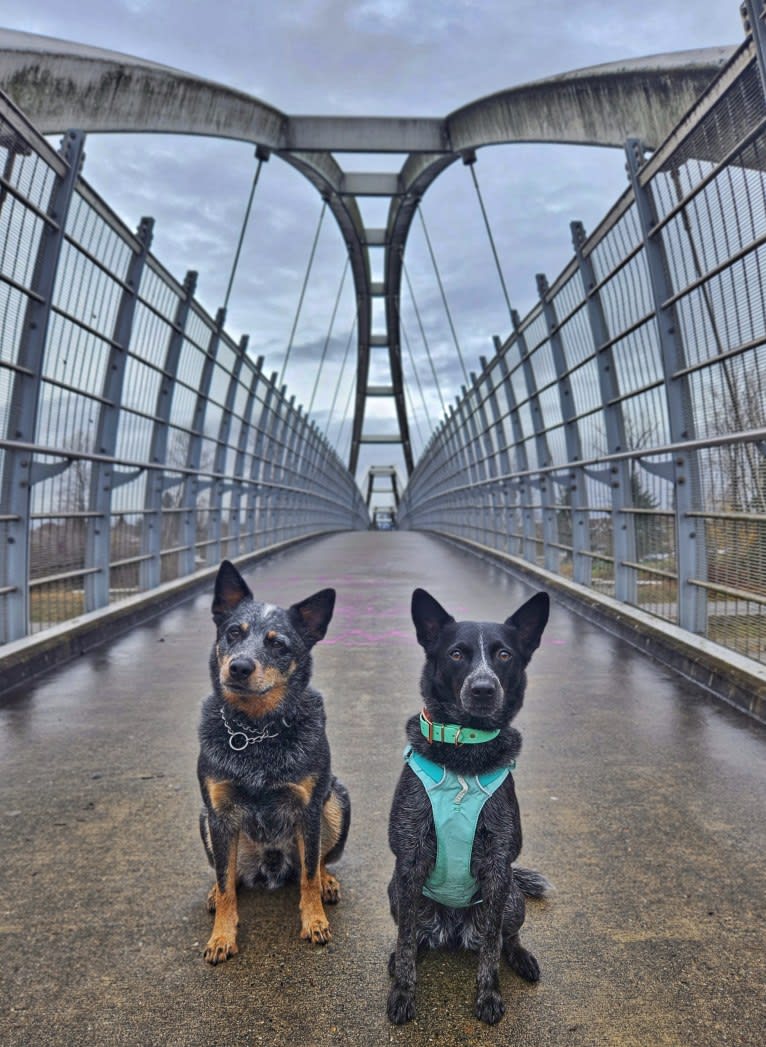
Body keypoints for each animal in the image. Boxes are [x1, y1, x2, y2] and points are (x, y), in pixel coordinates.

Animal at [197, 561, 353, 959]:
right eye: (233, 632)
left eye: (277, 643)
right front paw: (221, 937)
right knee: (227, 875)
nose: (239, 667)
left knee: (316, 861)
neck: (254, 732)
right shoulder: (219, 813)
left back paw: (327, 881)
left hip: (337, 800)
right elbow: (226, 885)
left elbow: (309, 875)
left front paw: (314, 921)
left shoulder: (308, 809)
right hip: (205, 820)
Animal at [389, 590, 552, 1021]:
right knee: (415, 936)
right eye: (457, 653)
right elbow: (407, 942)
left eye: (504, 654)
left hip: (512, 899)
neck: (464, 750)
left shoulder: (497, 866)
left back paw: (522, 957)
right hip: (396, 891)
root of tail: (452, 931)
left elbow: (492, 948)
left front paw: (489, 995)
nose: (482, 688)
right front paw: (402, 992)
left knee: (507, 937)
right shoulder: (409, 861)